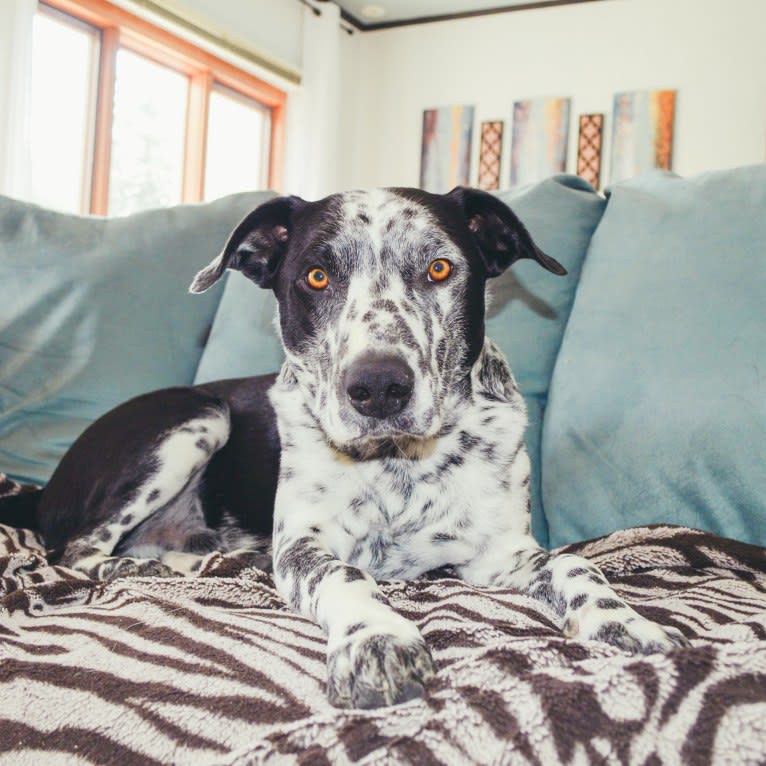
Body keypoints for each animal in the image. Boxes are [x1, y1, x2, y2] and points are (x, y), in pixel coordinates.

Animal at [0, 184, 692, 708]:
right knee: (76, 548)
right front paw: (377, 641)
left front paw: (626, 622)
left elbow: (577, 565)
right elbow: (347, 575)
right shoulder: (307, 545)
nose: (378, 386)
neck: (397, 465)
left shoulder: (501, 554)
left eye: (439, 267)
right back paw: (133, 568)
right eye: (316, 275)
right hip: (196, 419)